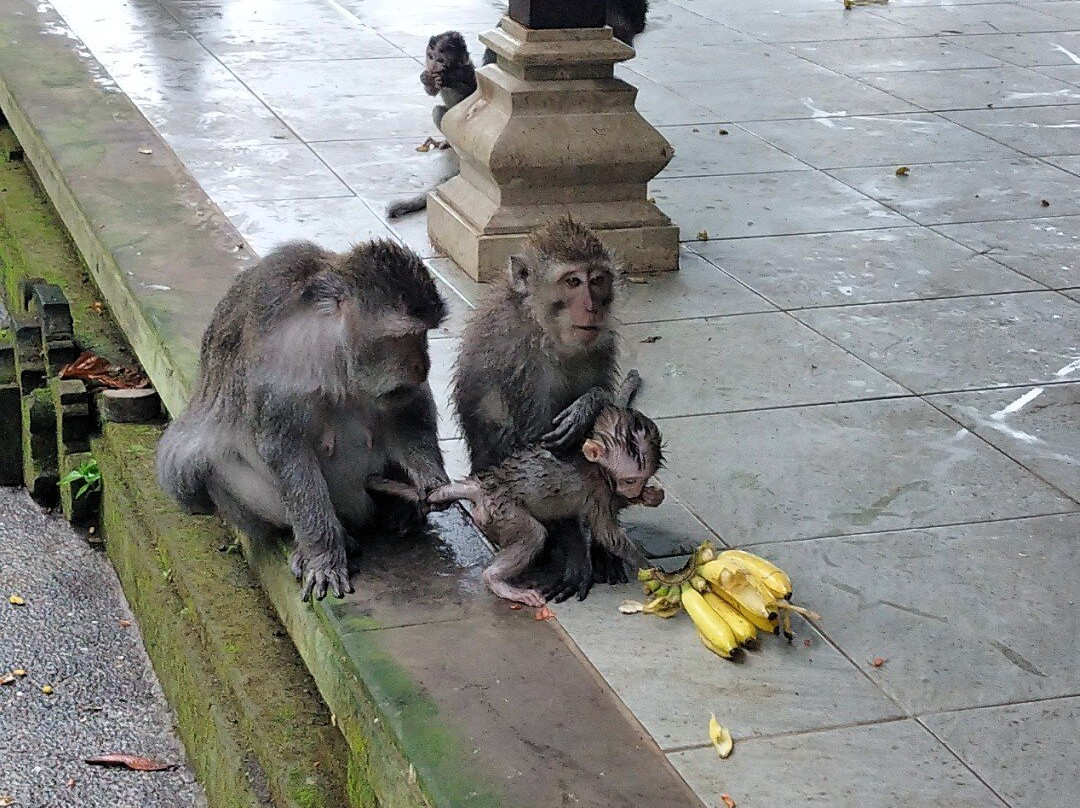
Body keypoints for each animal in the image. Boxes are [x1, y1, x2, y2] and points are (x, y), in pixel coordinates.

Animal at [155, 239, 449, 602]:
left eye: (425, 334)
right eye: (403, 336)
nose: (423, 366)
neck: (336, 355)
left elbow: (410, 410)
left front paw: (430, 477)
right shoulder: (283, 366)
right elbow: (286, 451)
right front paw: (322, 553)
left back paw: (397, 508)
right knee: (205, 463)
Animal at [369, 404, 665, 607]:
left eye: (642, 478)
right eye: (629, 479)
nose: (635, 488)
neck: (597, 468)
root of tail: (483, 486)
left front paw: (650, 495)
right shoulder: (597, 491)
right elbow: (607, 534)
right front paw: (650, 568)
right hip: (500, 509)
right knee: (532, 534)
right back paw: (497, 581)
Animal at [452, 216, 638, 602]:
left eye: (597, 280)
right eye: (572, 282)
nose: (592, 306)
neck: (543, 326)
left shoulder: (602, 342)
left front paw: (590, 403)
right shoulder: (521, 358)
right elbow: (542, 459)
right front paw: (576, 555)